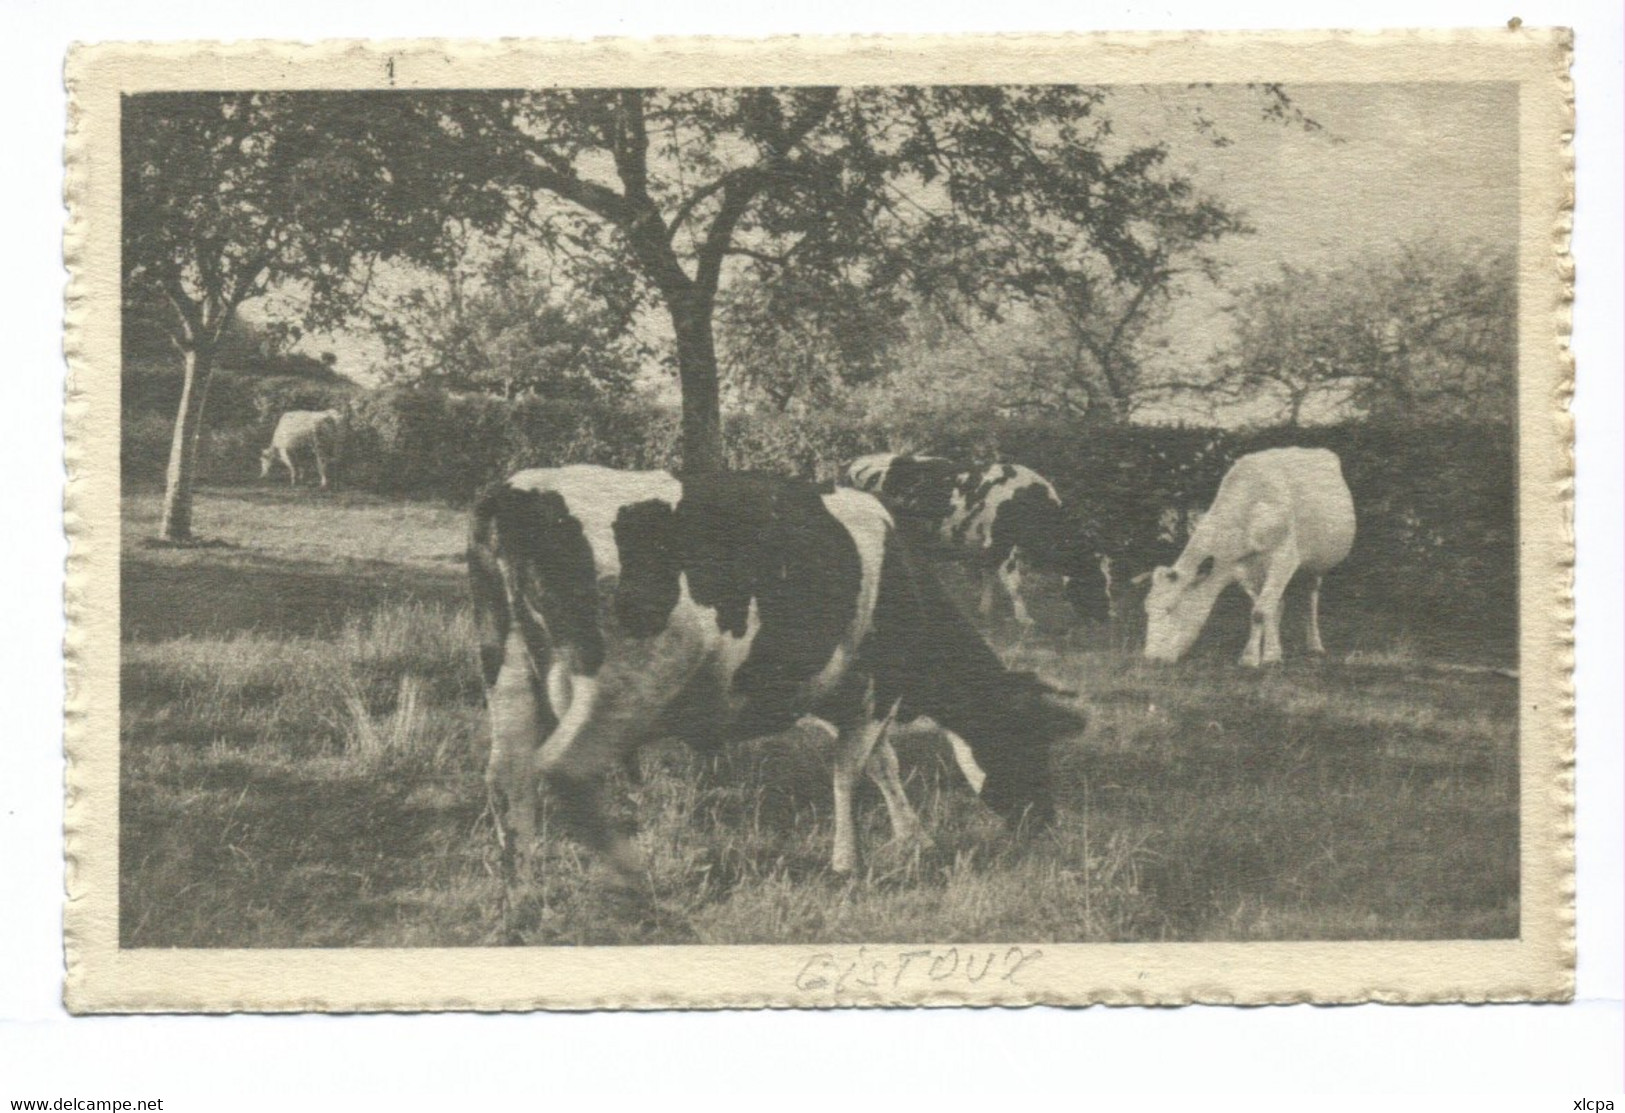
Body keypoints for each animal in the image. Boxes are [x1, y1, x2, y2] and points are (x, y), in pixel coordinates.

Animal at [471, 464, 1079, 883]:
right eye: (1030, 738)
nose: (1045, 820)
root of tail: (515, 491)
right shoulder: (875, 691)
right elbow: (850, 772)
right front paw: (848, 861)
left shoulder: (843, 693)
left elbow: (882, 764)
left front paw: (914, 838)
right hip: (616, 689)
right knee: (562, 770)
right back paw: (625, 878)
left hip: (507, 673)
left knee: (507, 774)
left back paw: (524, 874)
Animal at [845, 451, 1111, 623]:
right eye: (1094, 577)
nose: (1109, 616)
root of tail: (853, 462)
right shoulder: (1002, 543)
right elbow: (1014, 583)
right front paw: (1025, 619)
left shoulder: (991, 546)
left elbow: (988, 576)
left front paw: (984, 610)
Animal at [1144, 445, 1358, 669]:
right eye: (1147, 609)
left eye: (1170, 608)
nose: (1150, 658)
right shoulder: (1243, 570)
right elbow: (1261, 611)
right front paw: (1256, 656)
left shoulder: (1284, 558)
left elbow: (1259, 612)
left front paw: (1267, 657)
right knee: (1277, 604)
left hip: (1315, 565)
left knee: (1310, 599)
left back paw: (1315, 645)